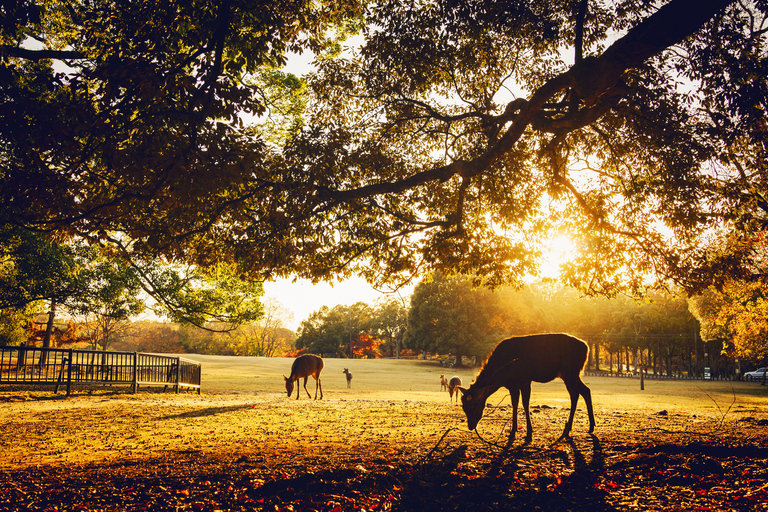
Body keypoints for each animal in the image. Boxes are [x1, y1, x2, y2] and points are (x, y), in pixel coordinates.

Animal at [460, 334, 596, 446]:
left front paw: (529, 434)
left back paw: (567, 429)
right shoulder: (513, 385)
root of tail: (587, 347)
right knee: (586, 390)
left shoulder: (525, 380)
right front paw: (513, 431)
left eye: (473, 406)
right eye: (463, 407)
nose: (470, 426)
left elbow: (525, 404)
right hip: (571, 374)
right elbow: (515, 404)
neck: (502, 375)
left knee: (575, 394)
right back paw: (591, 426)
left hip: (570, 372)